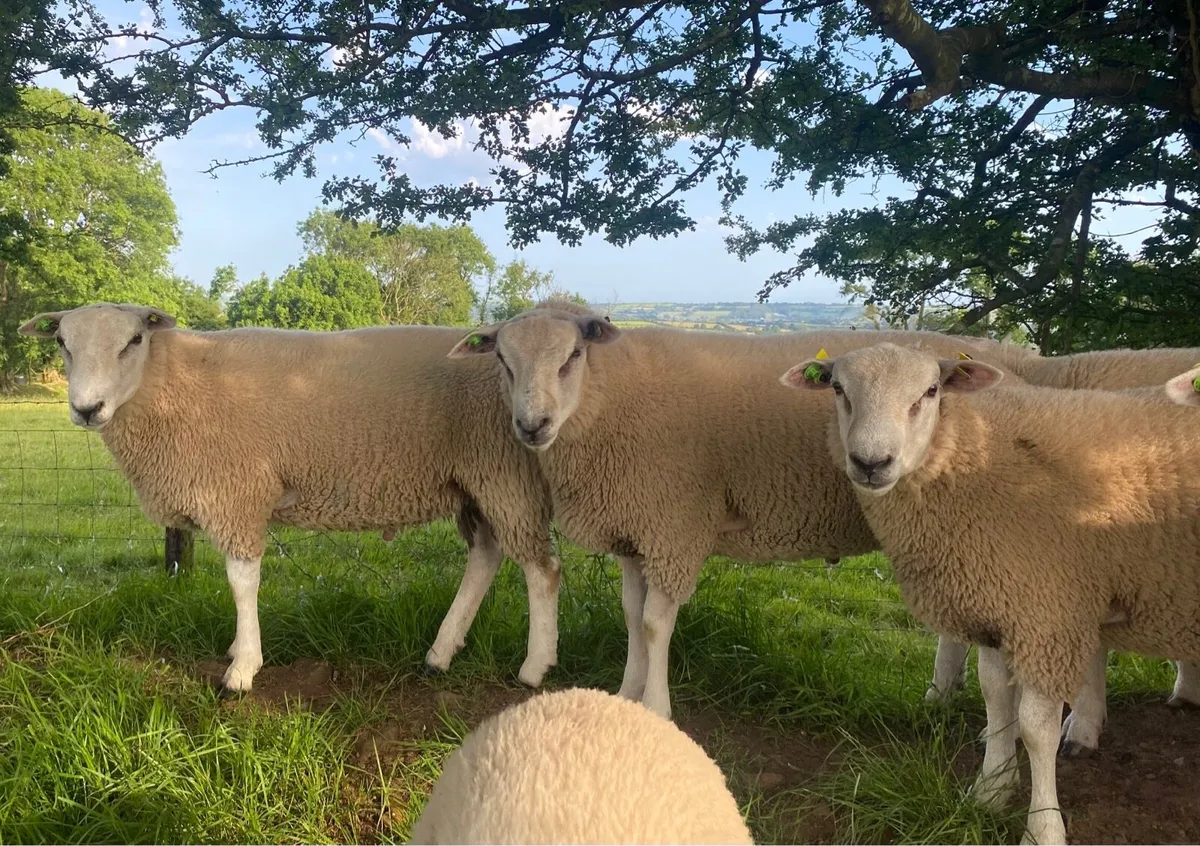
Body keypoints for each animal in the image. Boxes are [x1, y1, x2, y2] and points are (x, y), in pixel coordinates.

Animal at [18, 303, 561, 693]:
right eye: (62, 343)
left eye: (134, 341)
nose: (87, 409)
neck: (173, 384)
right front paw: (239, 653)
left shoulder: (236, 492)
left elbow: (241, 582)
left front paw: (242, 670)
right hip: (474, 481)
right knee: (486, 555)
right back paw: (440, 655)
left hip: (505, 473)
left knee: (542, 569)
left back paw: (534, 667)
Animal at [446, 299, 1026, 719]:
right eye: (502, 362)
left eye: (571, 358)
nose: (532, 426)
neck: (610, 398)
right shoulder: (638, 527)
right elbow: (632, 615)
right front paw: (627, 693)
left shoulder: (674, 523)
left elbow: (655, 623)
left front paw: (655, 708)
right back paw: (942, 696)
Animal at [784, 342, 1200, 845]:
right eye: (837, 388)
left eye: (931, 391)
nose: (870, 463)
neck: (978, 460)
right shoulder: (996, 607)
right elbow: (995, 699)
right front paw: (990, 792)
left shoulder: (1046, 614)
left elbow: (1036, 727)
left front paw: (1043, 827)